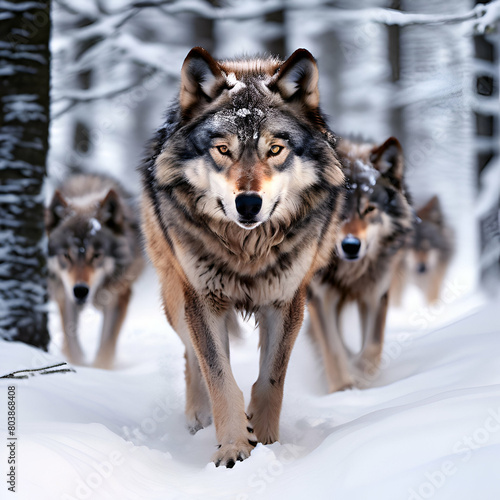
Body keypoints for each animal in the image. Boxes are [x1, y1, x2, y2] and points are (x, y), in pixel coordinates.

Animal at [46, 174, 144, 370]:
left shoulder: (118, 296)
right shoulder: (66, 296)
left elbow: (106, 344)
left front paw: (100, 369)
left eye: (97, 255)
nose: (80, 290)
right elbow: (71, 342)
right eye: (66, 255)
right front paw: (78, 365)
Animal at [139, 48, 346, 466]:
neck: (247, 250)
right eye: (223, 150)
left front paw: (265, 443)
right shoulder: (203, 301)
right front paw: (234, 447)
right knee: (191, 355)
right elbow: (219, 376)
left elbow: (271, 380)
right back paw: (199, 417)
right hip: (175, 294)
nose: (248, 203)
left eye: (275, 149)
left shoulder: (286, 301)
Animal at [308, 136, 414, 390]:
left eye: (369, 209)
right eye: (337, 210)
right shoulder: (320, 297)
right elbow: (332, 348)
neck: (349, 273)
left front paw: (364, 376)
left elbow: (373, 345)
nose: (350, 245)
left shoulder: (375, 294)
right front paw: (342, 388)